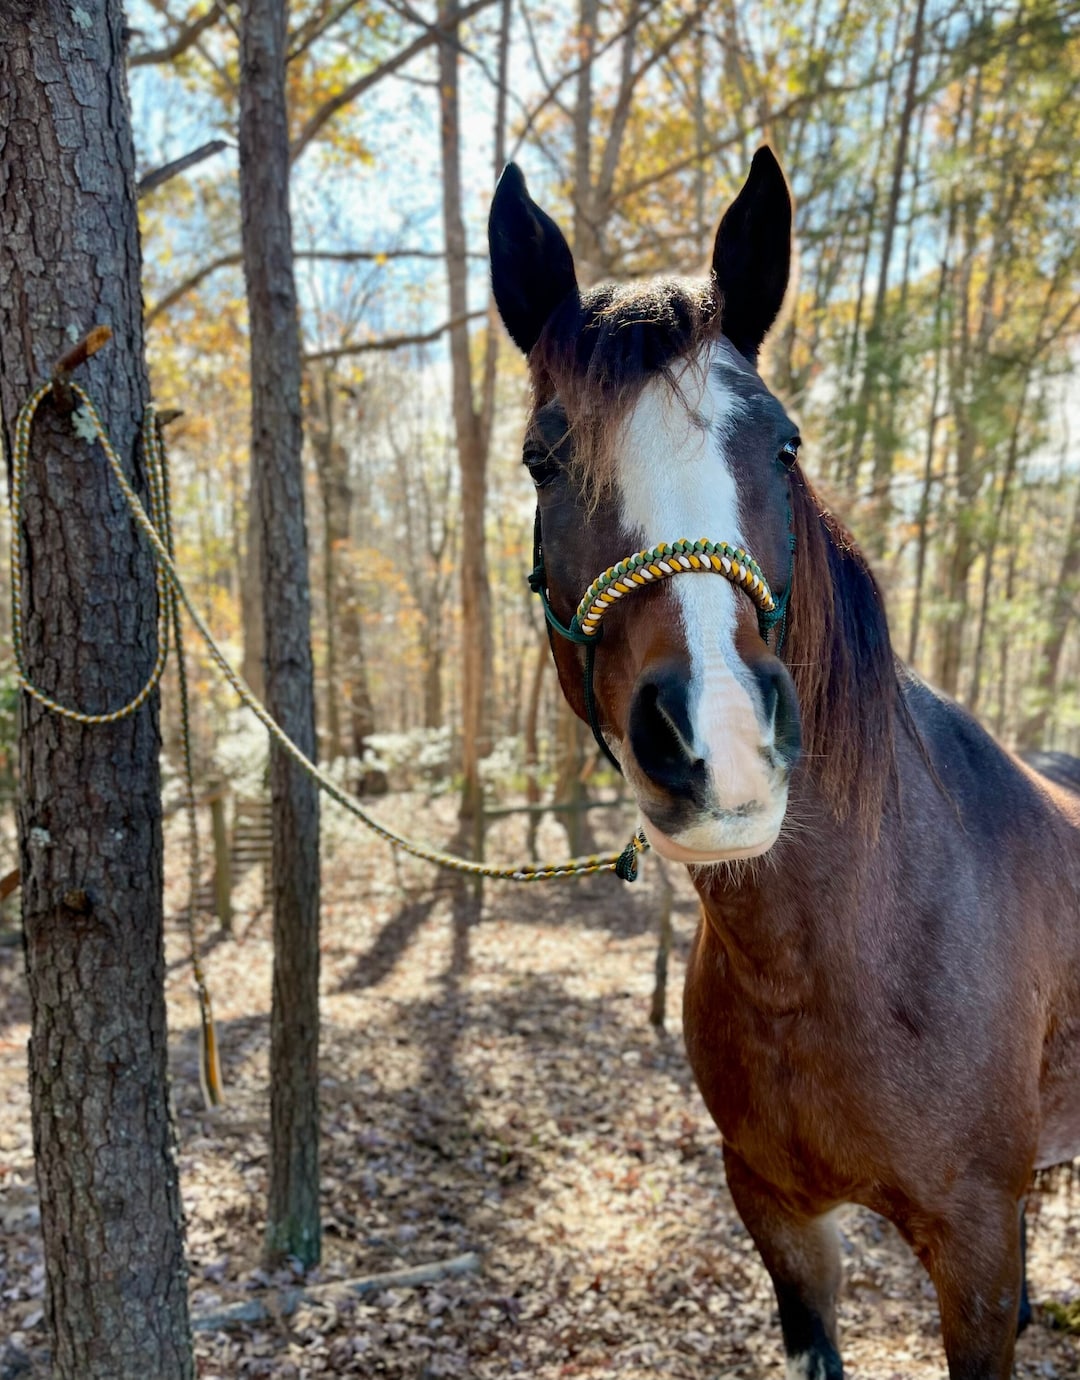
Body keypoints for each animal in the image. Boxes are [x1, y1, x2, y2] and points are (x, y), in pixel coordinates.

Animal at [487, 148, 1080, 1379]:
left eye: (786, 443)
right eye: (541, 459)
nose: (719, 742)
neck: (837, 953)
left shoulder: (973, 1247)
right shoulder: (779, 1221)